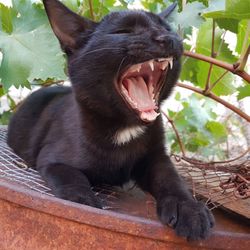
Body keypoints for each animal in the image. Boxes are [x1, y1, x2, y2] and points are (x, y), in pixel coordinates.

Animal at [7, 0, 215, 240]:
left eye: (166, 28)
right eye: (123, 31)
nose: (168, 38)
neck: (123, 128)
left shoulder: (156, 157)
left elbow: (172, 180)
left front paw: (189, 208)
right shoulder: (52, 159)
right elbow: (71, 177)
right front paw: (83, 199)